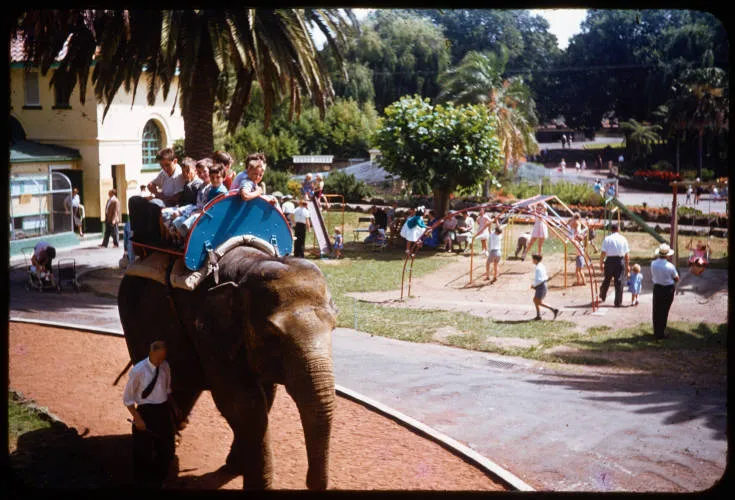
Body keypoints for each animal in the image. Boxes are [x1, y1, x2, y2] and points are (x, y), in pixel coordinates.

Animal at [117, 245, 338, 490]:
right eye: (272, 335)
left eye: (334, 326)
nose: (309, 483)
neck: (251, 264)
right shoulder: (211, 334)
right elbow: (243, 403)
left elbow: (264, 397)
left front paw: (235, 467)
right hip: (133, 322)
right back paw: (151, 469)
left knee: (181, 387)